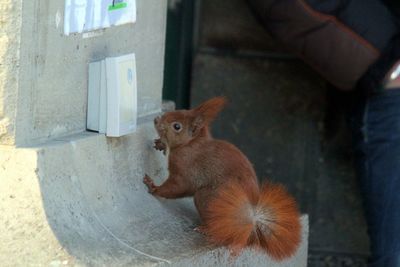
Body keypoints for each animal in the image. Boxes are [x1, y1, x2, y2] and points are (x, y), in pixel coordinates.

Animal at [143, 97, 300, 260]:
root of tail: (248, 226)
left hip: (209, 198)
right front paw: (160, 143)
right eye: (180, 109)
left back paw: (206, 229)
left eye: (177, 126)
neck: (191, 144)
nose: (156, 119)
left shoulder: (185, 170)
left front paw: (154, 187)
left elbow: (178, 187)